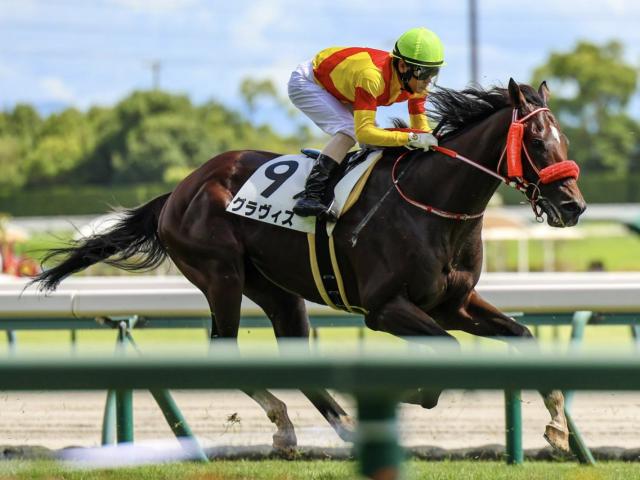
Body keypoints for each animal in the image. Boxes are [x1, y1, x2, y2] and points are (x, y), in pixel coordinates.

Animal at [33, 79, 586, 453]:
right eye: (537, 142)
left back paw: (331, 425)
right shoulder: (383, 309)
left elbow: (523, 336)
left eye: (565, 141)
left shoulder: (454, 304)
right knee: (222, 346)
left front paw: (558, 428)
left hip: (277, 289)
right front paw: (407, 394)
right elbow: (444, 354)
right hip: (221, 274)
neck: (433, 203)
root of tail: (179, 190)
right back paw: (287, 421)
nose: (574, 206)